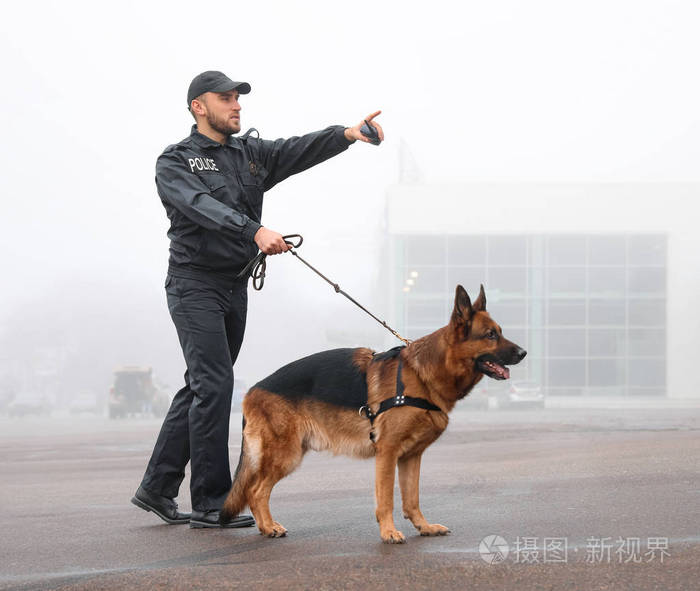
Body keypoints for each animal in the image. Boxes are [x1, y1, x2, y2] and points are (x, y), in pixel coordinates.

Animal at [220, 284, 524, 544]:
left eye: (500, 331)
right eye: (490, 335)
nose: (524, 352)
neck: (421, 375)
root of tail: (252, 390)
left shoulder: (411, 456)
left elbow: (412, 498)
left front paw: (424, 527)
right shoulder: (387, 452)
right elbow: (387, 498)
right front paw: (389, 532)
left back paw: (265, 527)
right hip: (287, 454)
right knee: (255, 491)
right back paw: (269, 527)